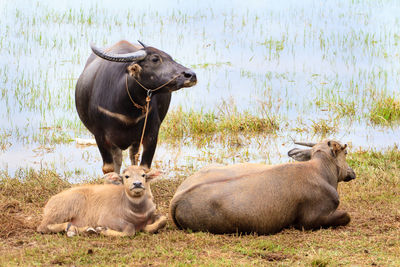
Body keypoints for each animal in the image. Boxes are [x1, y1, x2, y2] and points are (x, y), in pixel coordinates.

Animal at [75, 39, 197, 174]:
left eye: (170, 57)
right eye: (155, 59)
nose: (191, 75)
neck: (126, 109)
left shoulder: (152, 133)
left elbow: (144, 167)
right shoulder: (100, 135)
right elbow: (109, 168)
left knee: (132, 156)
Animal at [169, 140, 356, 234]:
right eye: (346, 152)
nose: (352, 171)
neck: (320, 170)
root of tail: (177, 198)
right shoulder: (311, 220)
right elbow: (346, 216)